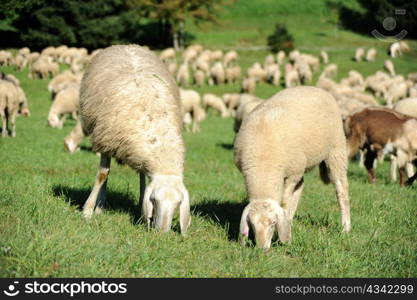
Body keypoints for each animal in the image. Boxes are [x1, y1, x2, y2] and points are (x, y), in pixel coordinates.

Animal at [78, 44, 190, 234]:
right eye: (154, 200)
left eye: (178, 203)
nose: (162, 233)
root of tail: (127, 45)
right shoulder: (106, 139)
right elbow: (102, 175)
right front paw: (87, 211)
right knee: (106, 173)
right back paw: (100, 206)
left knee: (141, 175)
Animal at [234, 86, 352, 248]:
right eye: (251, 224)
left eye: (273, 223)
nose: (262, 249)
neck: (263, 166)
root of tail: (317, 88)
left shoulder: (292, 173)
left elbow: (284, 201)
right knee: (301, 185)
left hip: (336, 150)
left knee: (341, 190)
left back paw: (346, 227)